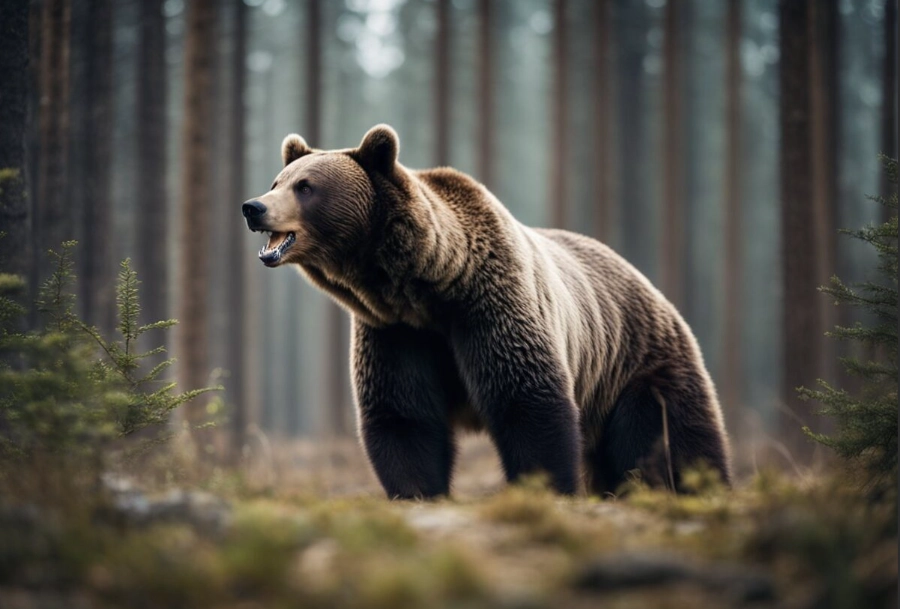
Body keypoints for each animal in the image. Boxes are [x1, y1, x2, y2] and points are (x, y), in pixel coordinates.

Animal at [241, 124, 732, 498]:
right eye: (277, 181)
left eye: (306, 186)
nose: (253, 207)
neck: (426, 285)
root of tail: (651, 287)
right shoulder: (395, 332)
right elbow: (403, 417)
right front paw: (418, 492)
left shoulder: (489, 306)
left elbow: (528, 401)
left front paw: (546, 487)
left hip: (638, 366)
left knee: (676, 441)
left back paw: (702, 488)